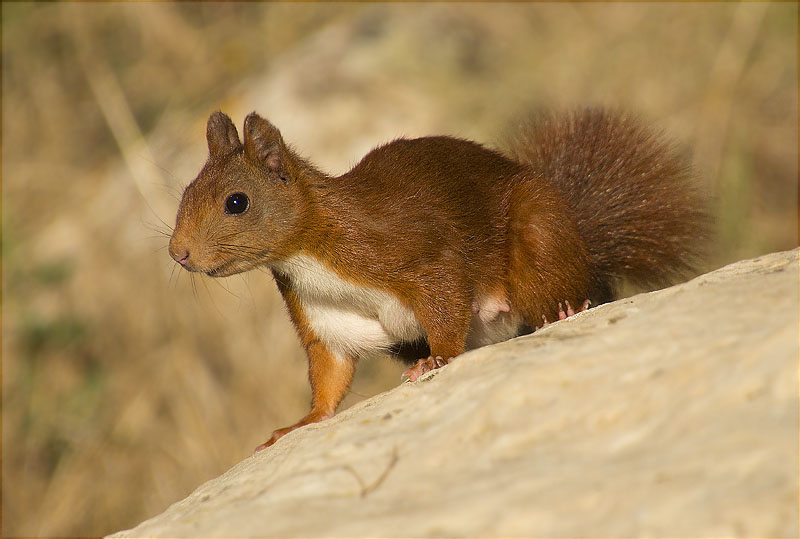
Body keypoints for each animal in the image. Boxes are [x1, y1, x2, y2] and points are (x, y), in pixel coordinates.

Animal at [169, 107, 708, 450]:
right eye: (186, 192)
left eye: (236, 202)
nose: (178, 253)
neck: (311, 256)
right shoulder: (322, 317)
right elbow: (330, 374)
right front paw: (301, 422)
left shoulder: (416, 251)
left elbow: (447, 299)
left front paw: (440, 359)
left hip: (539, 234)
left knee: (564, 290)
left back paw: (567, 309)